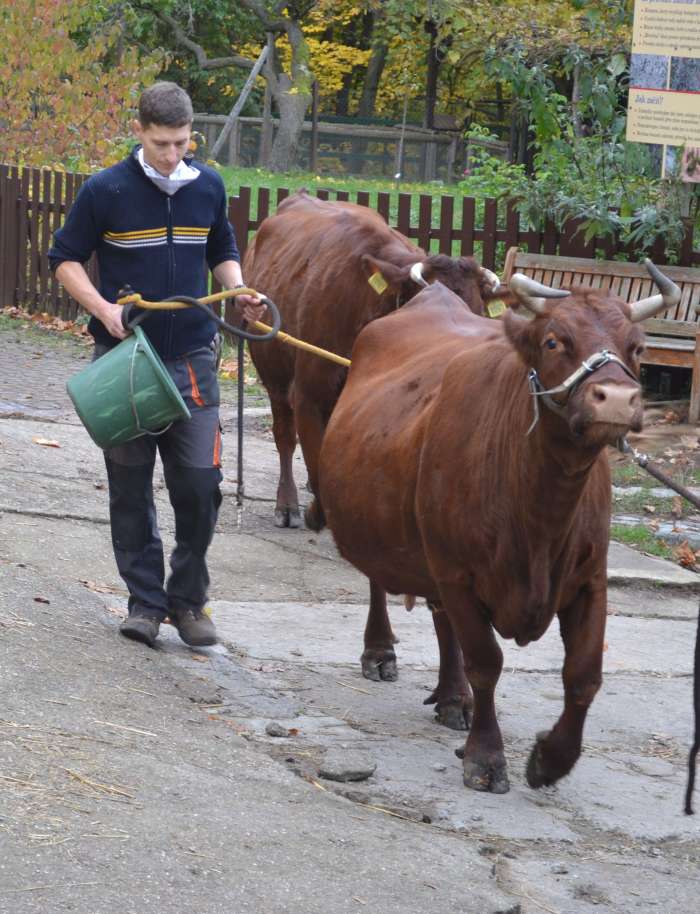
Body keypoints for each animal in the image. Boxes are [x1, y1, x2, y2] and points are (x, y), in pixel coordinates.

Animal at [243, 190, 500, 532]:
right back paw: (287, 504)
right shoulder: (310, 394)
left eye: (479, 313)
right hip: (272, 371)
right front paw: (316, 512)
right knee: (285, 434)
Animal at [320, 260, 680, 788]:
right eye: (553, 340)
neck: (541, 513)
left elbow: (583, 676)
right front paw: (486, 757)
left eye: (637, 346)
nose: (616, 398)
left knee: (440, 616)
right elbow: (486, 663)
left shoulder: (590, 579)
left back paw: (453, 698)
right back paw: (381, 653)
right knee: (380, 584)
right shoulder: (459, 573)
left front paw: (551, 758)